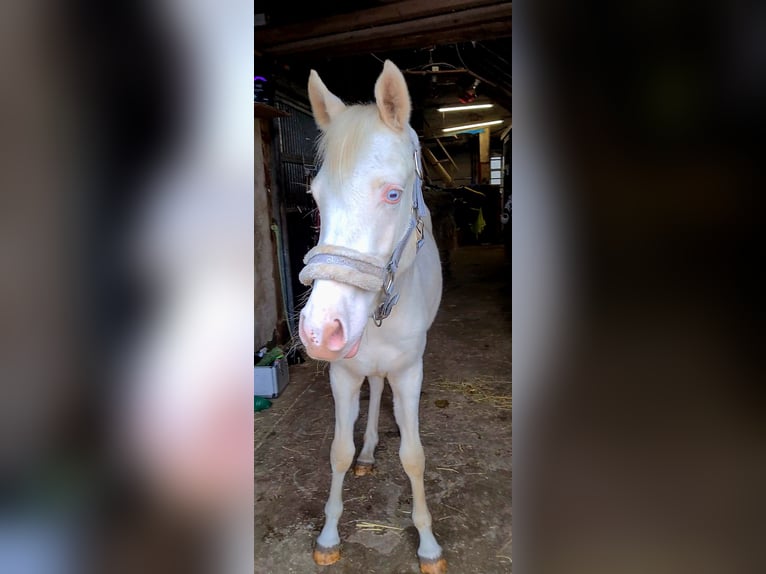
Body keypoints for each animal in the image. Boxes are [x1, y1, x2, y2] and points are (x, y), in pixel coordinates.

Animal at [296, 60, 448, 572]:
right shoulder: (342, 373)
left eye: (393, 194)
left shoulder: (409, 372)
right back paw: (367, 452)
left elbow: (414, 456)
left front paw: (428, 544)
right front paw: (328, 536)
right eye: (315, 197)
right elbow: (338, 452)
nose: (320, 331)